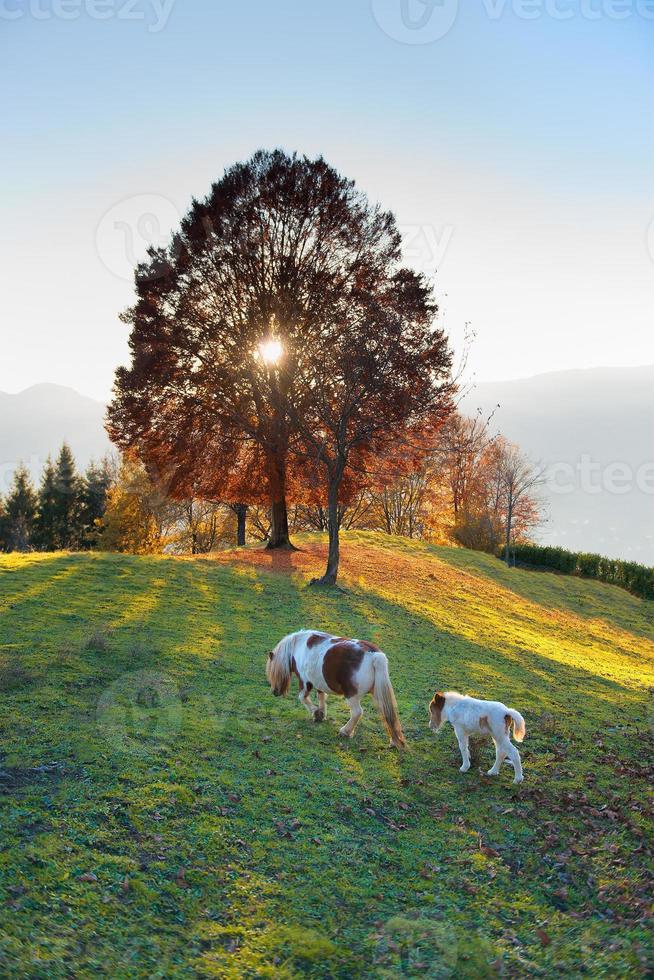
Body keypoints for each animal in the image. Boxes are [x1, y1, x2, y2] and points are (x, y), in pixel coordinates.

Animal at [266, 632, 404, 748]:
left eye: (273, 672)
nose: (274, 692)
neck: (297, 647)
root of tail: (374, 654)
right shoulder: (318, 682)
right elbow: (321, 697)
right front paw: (321, 714)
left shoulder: (305, 681)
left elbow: (303, 698)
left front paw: (316, 713)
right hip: (378, 694)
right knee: (387, 713)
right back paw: (393, 740)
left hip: (351, 696)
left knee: (357, 712)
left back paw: (345, 731)